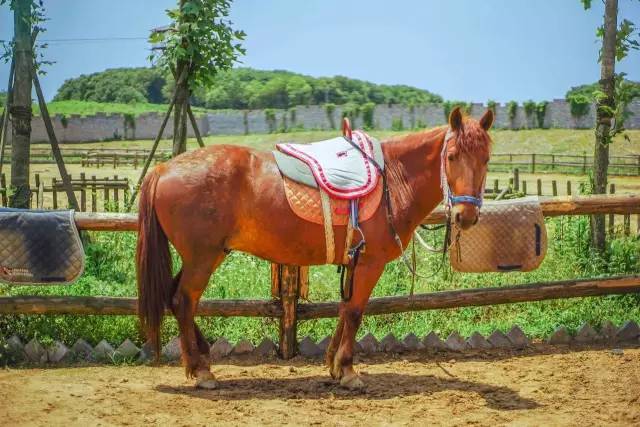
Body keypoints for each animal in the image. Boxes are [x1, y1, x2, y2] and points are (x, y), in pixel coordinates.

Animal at [136, 108, 496, 392]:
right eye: (451, 156)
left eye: (486, 158)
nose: (466, 215)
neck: (393, 179)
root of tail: (163, 169)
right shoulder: (370, 263)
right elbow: (355, 312)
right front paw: (348, 370)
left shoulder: (353, 261)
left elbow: (345, 308)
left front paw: (334, 365)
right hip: (203, 257)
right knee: (184, 300)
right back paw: (201, 371)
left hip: (206, 255)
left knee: (174, 297)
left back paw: (201, 357)